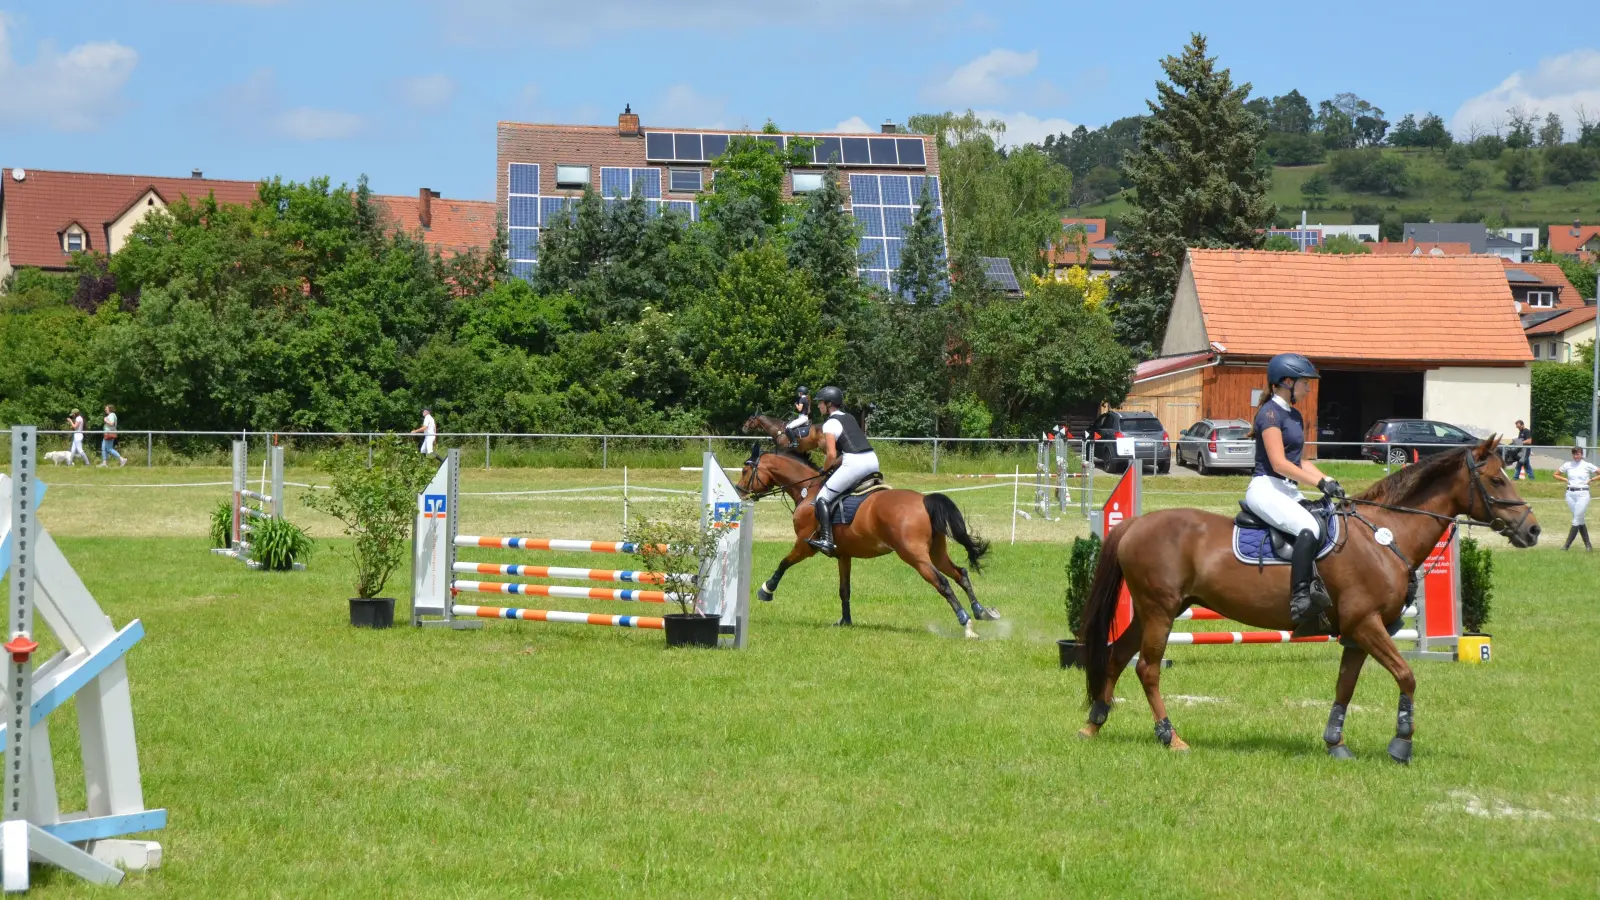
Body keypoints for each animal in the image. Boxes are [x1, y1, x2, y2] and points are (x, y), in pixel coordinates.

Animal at [736, 441, 998, 637]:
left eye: (745, 471)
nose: (739, 492)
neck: (808, 490)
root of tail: (924, 500)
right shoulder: (843, 554)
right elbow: (844, 589)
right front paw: (845, 621)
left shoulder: (804, 545)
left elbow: (783, 563)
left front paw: (766, 590)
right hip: (936, 551)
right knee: (960, 573)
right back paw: (981, 611)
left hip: (913, 554)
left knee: (942, 582)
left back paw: (967, 624)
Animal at [1075, 438, 1536, 759]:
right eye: (1496, 480)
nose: (1531, 530)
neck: (1383, 537)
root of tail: (1135, 523)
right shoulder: (1366, 625)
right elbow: (1407, 676)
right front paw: (1401, 744)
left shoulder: (1356, 634)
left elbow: (1345, 686)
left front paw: (1335, 744)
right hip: (1160, 611)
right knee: (1148, 668)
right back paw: (1170, 737)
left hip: (1154, 610)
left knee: (1117, 656)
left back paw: (1094, 724)